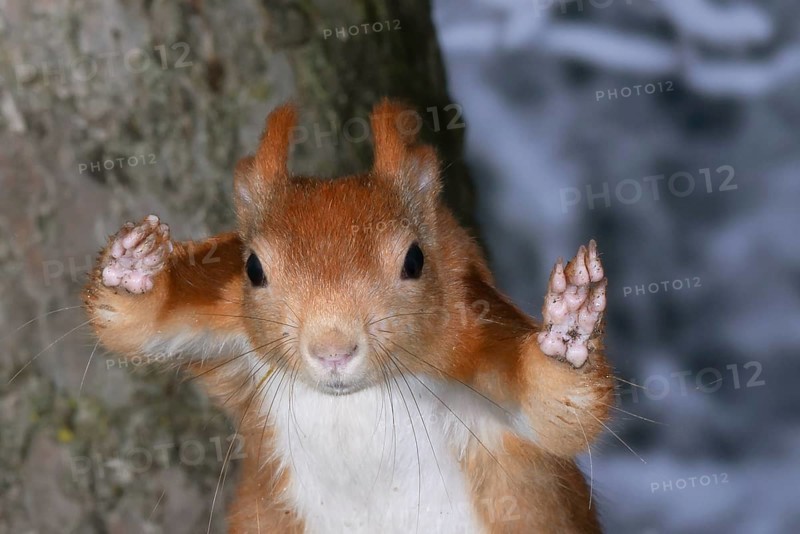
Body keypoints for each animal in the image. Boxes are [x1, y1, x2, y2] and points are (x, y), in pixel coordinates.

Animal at [84, 100, 615, 533]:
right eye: (253, 267)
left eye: (415, 260)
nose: (332, 350)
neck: (353, 400)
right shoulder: (227, 327)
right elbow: (134, 331)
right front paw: (133, 267)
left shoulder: (475, 346)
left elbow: (558, 413)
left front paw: (569, 325)